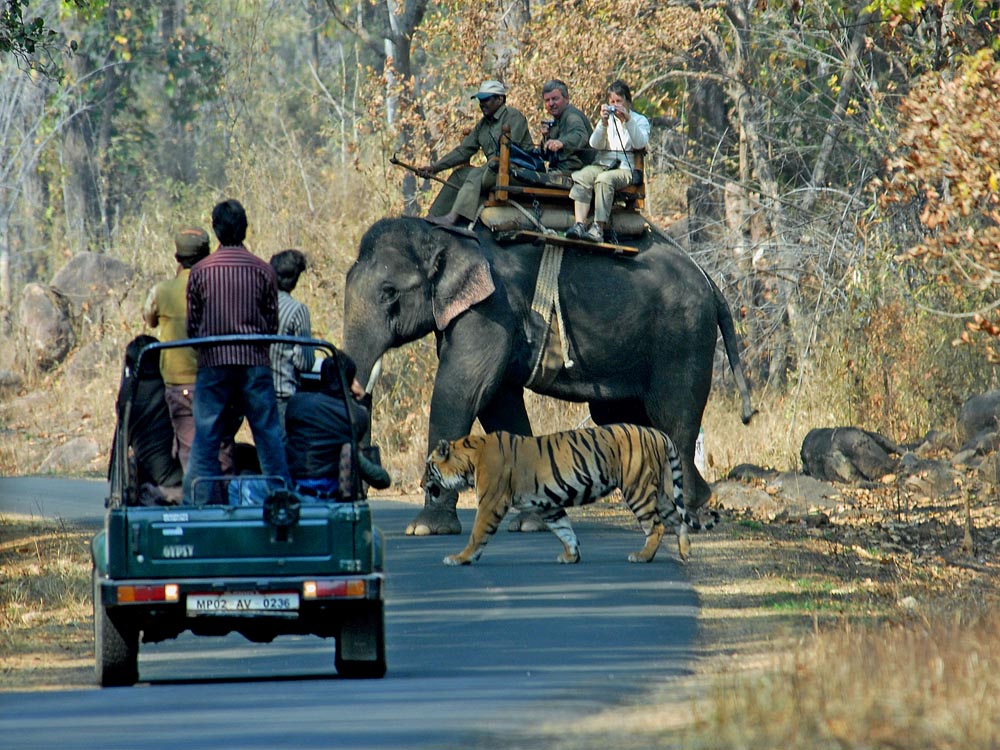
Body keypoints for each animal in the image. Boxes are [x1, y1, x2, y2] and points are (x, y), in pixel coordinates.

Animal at [342, 214, 752, 536]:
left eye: (389, 292)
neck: (447, 233)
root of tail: (709, 279)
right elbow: (498, 400)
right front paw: (532, 522)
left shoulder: (492, 308)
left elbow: (463, 390)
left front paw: (425, 529)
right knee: (626, 416)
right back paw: (683, 508)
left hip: (682, 337)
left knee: (672, 415)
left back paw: (684, 514)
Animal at [426, 426, 716, 568]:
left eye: (428, 467)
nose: (421, 484)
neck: (469, 459)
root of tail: (659, 433)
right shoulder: (548, 506)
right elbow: (565, 530)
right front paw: (571, 556)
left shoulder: (491, 502)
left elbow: (477, 534)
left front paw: (460, 558)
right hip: (661, 492)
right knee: (677, 520)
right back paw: (685, 552)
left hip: (638, 489)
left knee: (656, 526)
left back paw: (642, 556)